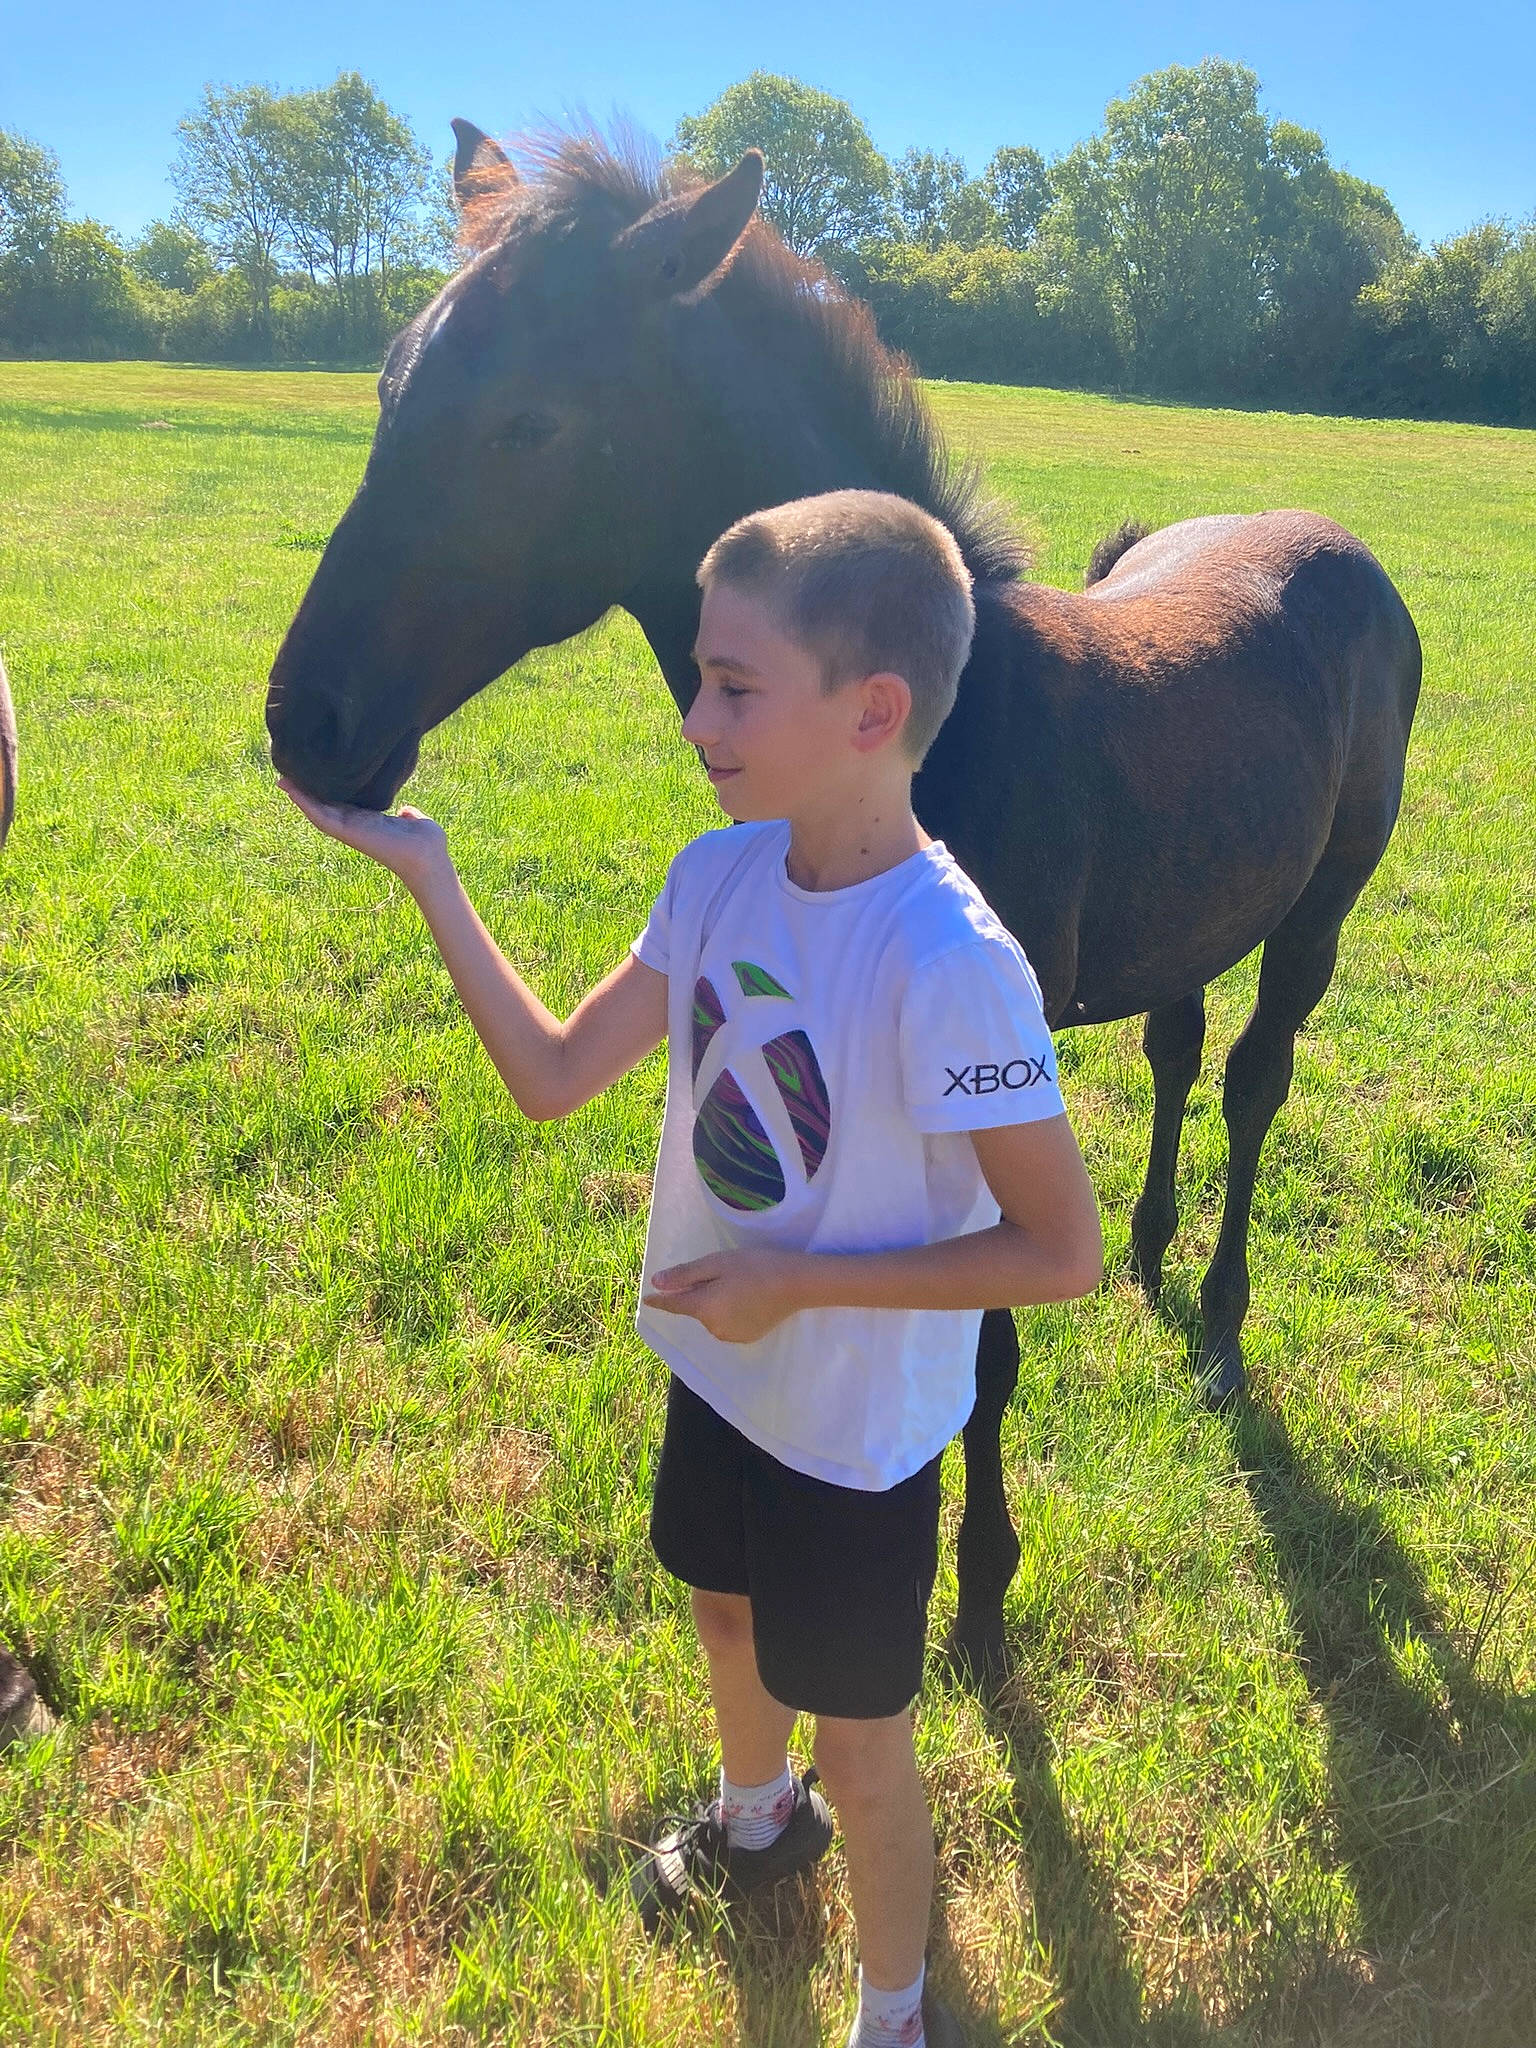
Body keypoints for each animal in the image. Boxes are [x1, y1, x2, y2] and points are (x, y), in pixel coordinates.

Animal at [265, 126, 1421, 1679]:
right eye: (392, 387)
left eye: (526, 425)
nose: (306, 723)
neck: (950, 732)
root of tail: (1340, 545)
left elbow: (985, 1348)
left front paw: (981, 1596)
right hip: (1198, 907)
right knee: (1180, 1048)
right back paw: (1150, 1247)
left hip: (1320, 912)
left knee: (1254, 1079)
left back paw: (1226, 1322)